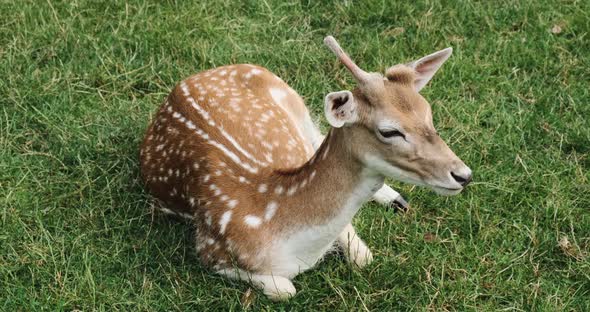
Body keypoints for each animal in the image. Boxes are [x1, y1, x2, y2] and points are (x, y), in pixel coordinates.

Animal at [141, 36, 474, 300]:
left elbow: (363, 257)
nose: (464, 175)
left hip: (295, 104)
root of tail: (189, 79)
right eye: (389, 131)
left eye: (428, 113)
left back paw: (395, 198)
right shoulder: (210, 249)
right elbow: (285, 289)